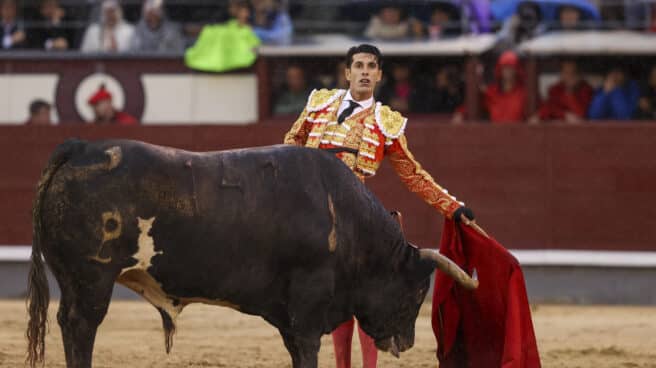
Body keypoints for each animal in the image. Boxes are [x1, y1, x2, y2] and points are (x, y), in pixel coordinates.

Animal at [25, 139, 476, 368]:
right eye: (418, 292)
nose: (407, 343)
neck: (346, 218)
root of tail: (81, 148)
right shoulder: (309, 301)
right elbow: (308, 349)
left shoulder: (289, 311)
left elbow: (296, 349)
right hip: (92, 277)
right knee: (81, 326)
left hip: (74, 278)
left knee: (67, 323)